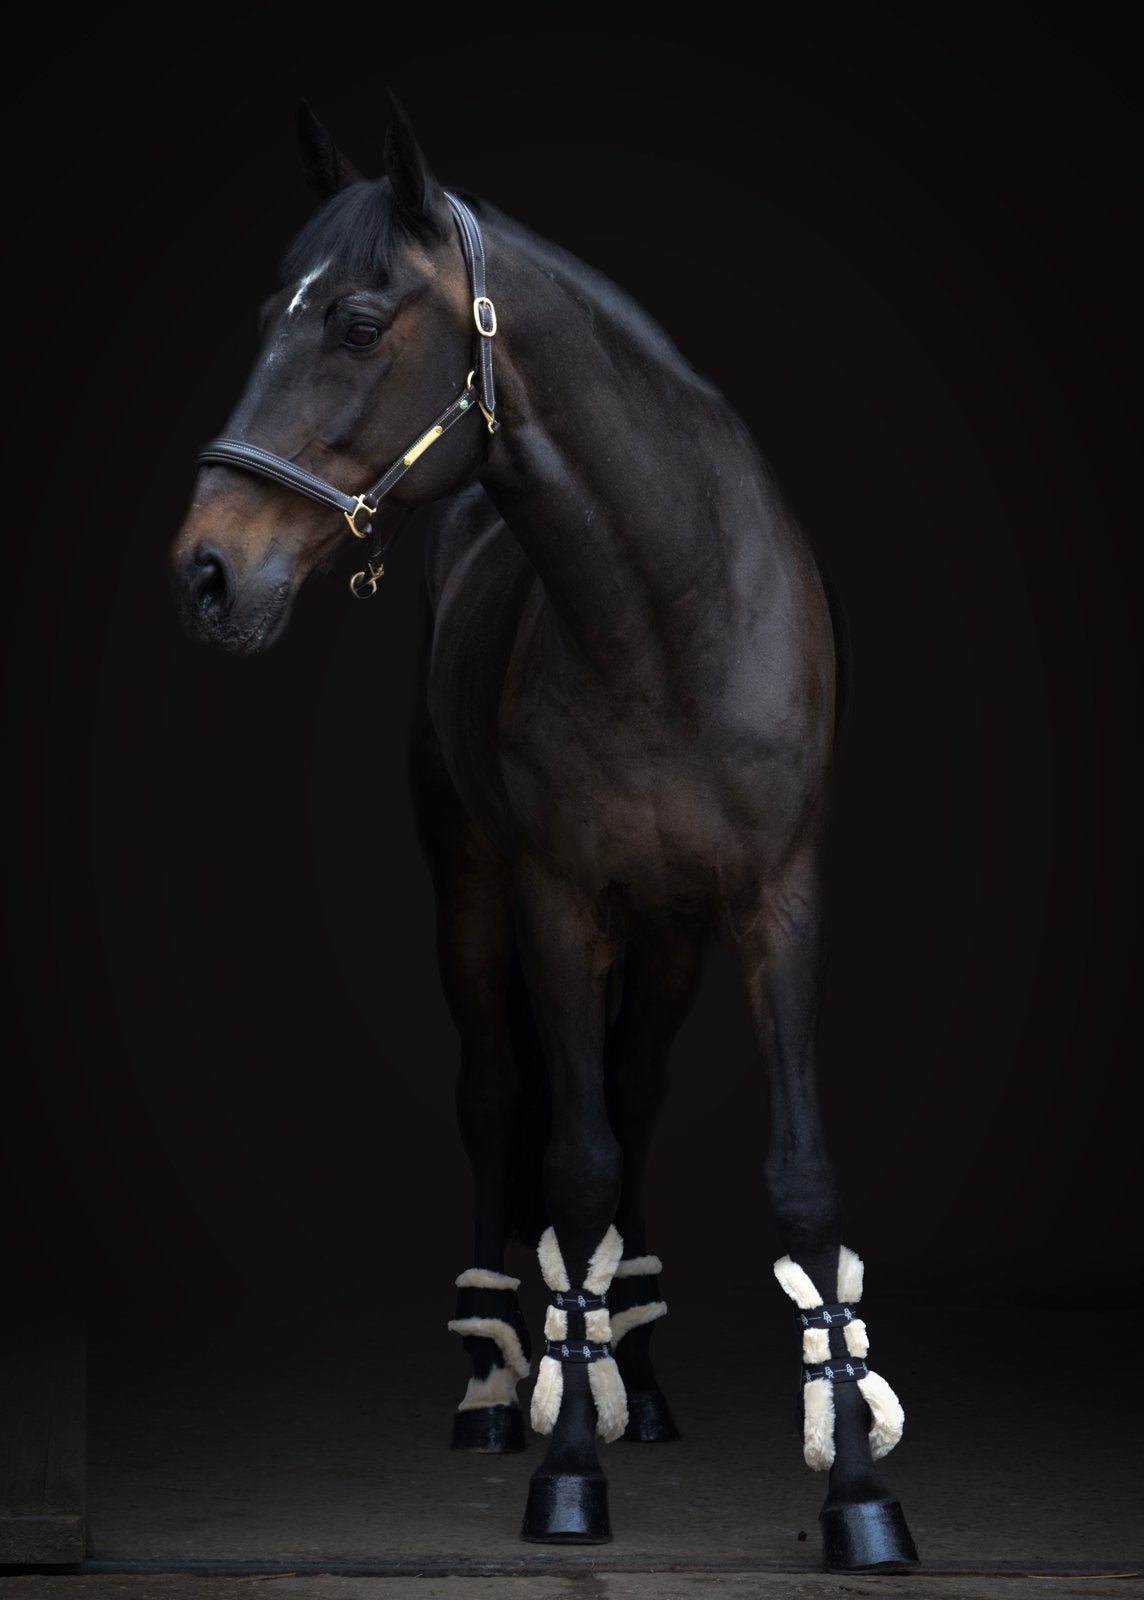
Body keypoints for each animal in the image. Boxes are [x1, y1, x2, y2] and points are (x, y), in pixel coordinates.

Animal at [167, 93, 920, 1572]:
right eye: (270, 315)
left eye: (355, 321)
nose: (209, 571)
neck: (671, 620)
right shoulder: (560, 900)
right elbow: (568, 1173)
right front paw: (571, 1462)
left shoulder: (778, 896)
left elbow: (795, 1180)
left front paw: (857, 1492)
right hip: (475, 897)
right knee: (502, 1101)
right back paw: (494, 1388)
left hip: (672, 934)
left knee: (631, 1098)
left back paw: (647, 1380)